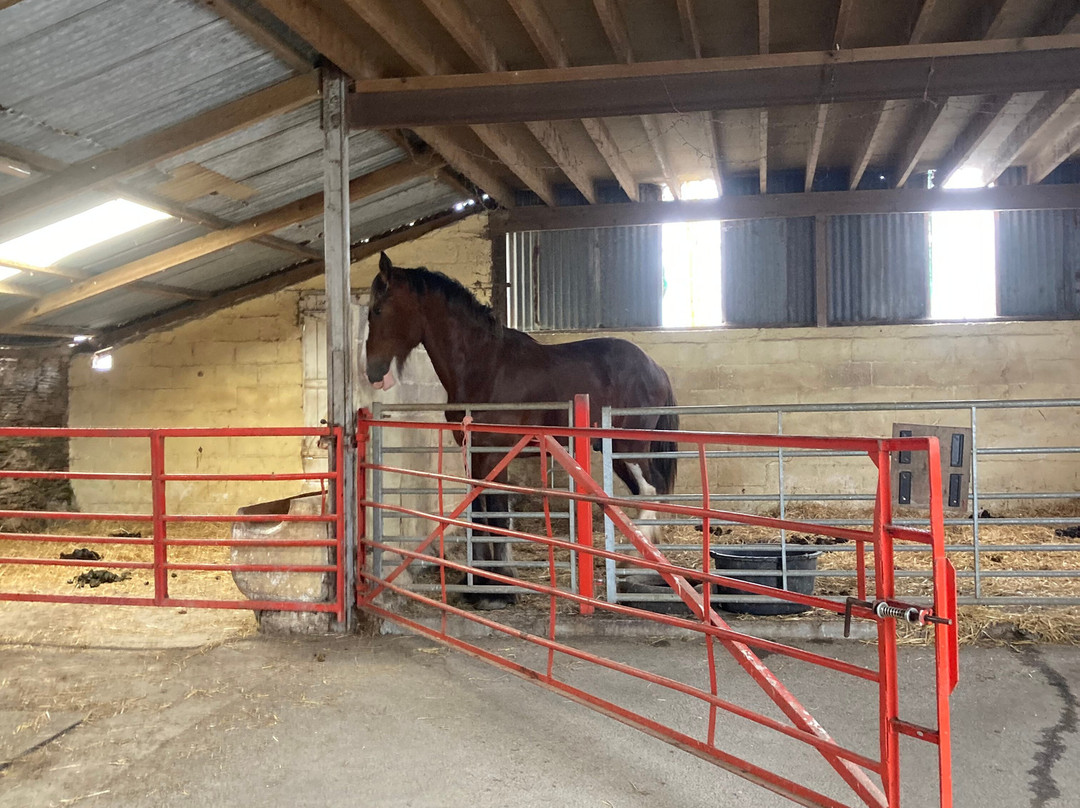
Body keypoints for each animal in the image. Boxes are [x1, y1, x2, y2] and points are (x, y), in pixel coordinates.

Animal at [364, 251, 679, 609]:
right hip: (615, 452)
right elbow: (478, 515)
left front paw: (501, 588)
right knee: (643, 495)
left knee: (651, 492)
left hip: (631, 448)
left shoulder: (494, 454)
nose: (372, 372)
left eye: (378, 309)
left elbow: (498, 517)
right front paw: (475, 584)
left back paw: (641, 568)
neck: (484, 366)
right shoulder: (473, 454)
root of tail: (656, 368)